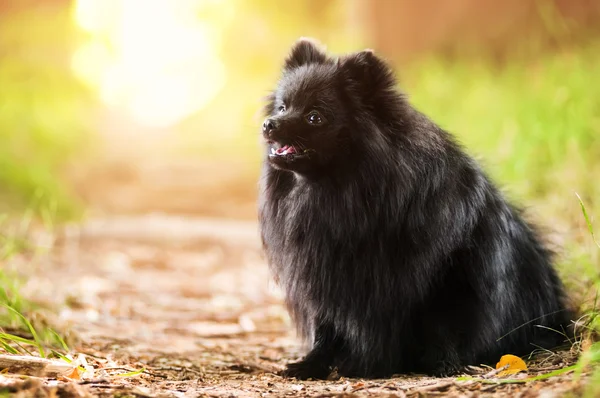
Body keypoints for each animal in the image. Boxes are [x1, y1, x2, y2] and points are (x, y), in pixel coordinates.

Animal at [256, 38, 572, 380]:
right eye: (283, 107)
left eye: (314, 116)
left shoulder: (439, 276)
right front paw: (311, 364)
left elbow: (441, 323)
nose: (269, 124)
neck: (341, 192)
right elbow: (327, 327)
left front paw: (438, 364)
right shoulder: (328, 273)